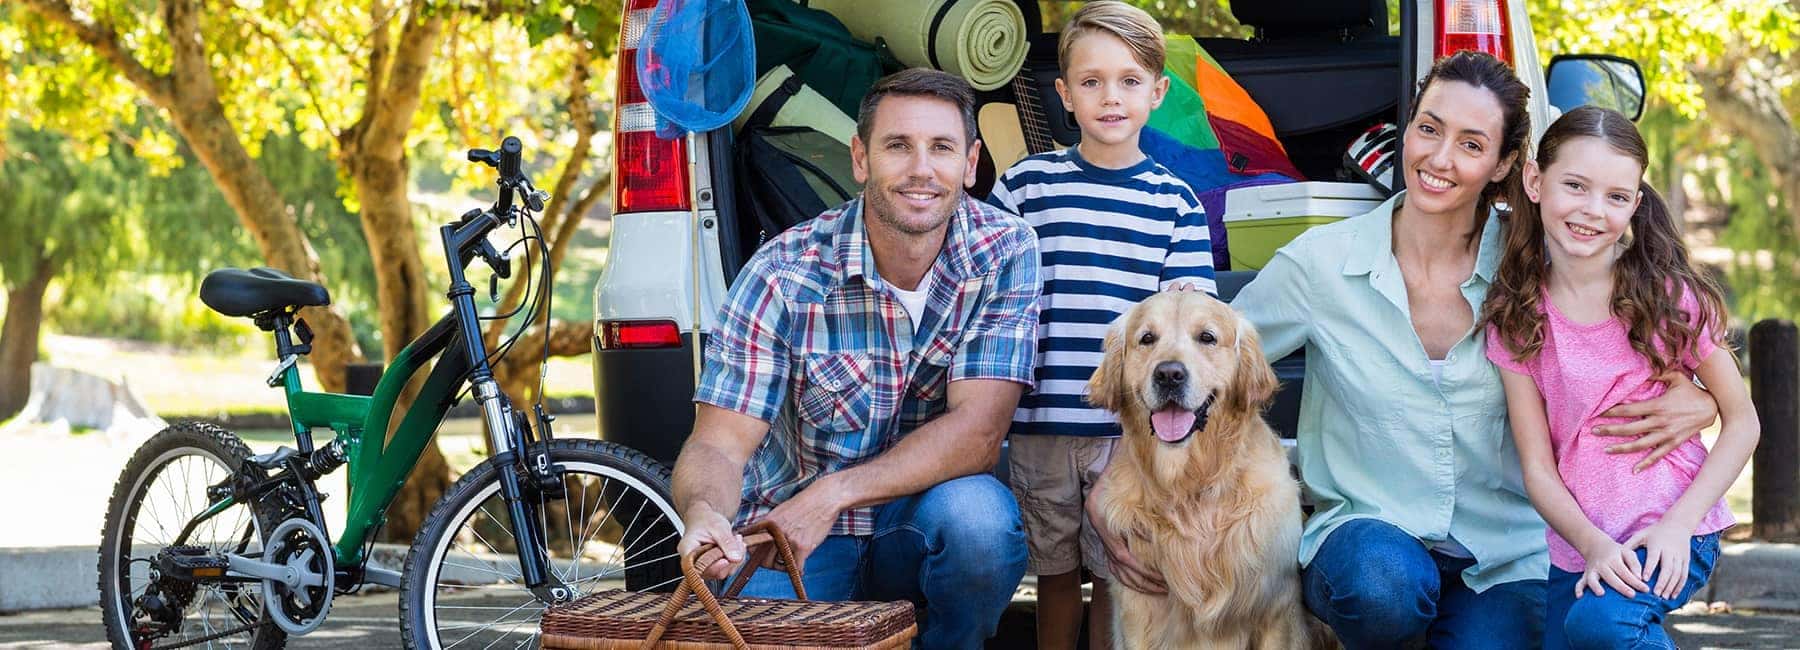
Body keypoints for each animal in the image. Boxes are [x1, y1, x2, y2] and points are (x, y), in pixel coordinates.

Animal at [1080, 291, 1324, 648]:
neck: (1190, 485)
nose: (1169, 374)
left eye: (1207, 337)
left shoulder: (1276, 607)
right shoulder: (1137, 611)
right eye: (1147, 338)